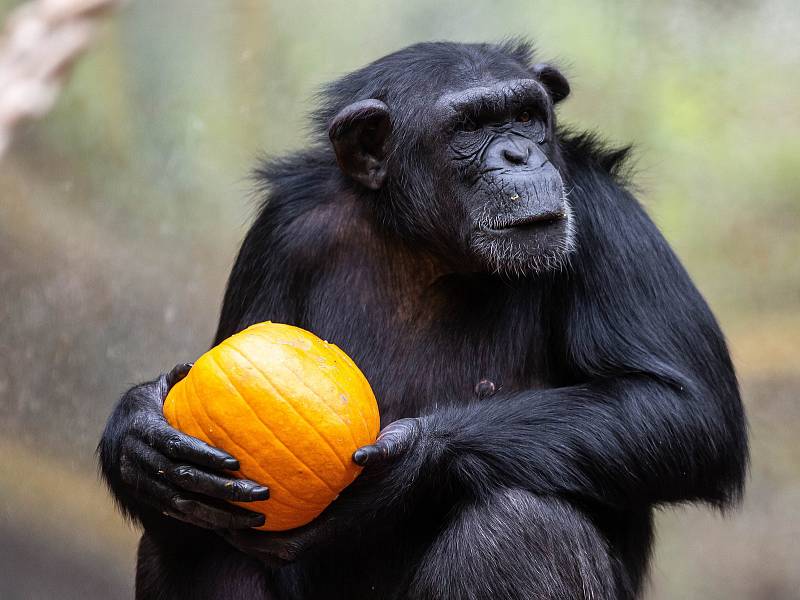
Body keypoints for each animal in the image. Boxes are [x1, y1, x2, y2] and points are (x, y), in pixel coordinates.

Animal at [97, 39, 748, 596]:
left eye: (526, 116)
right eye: (470, 128)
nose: (519, 154)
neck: (427, 246)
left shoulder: (602, 210)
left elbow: (685, 407)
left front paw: (399, 473)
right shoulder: (281, 232)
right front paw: (139, 437)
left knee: (523, 528)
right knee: (193, 540)